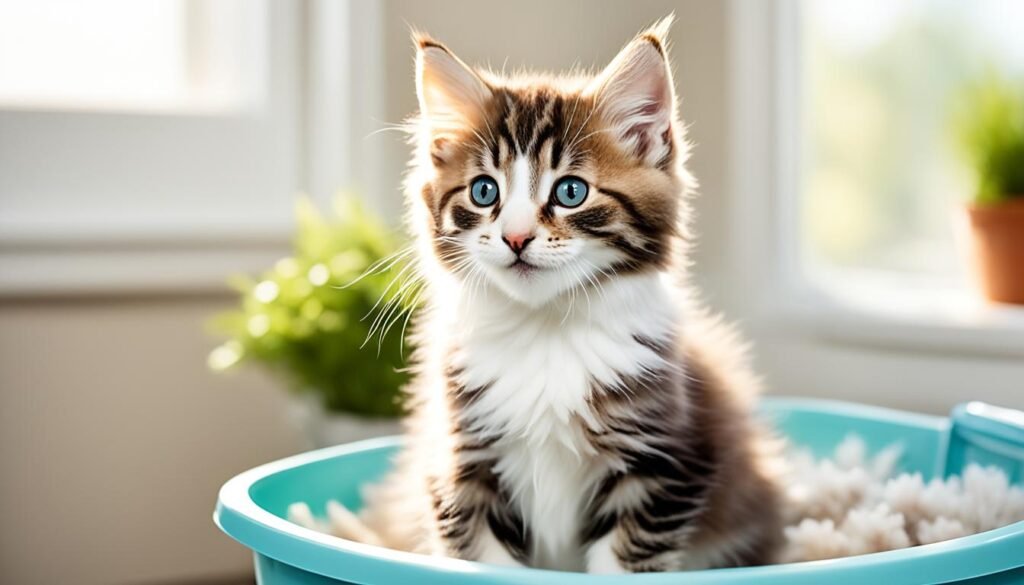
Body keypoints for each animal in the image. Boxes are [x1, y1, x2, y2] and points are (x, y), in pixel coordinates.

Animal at [352, 17, 782, 573]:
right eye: (484, 191)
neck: (546, 333)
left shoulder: (661, 468)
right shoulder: (461, 467)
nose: (515, 238)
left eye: (571, 192)